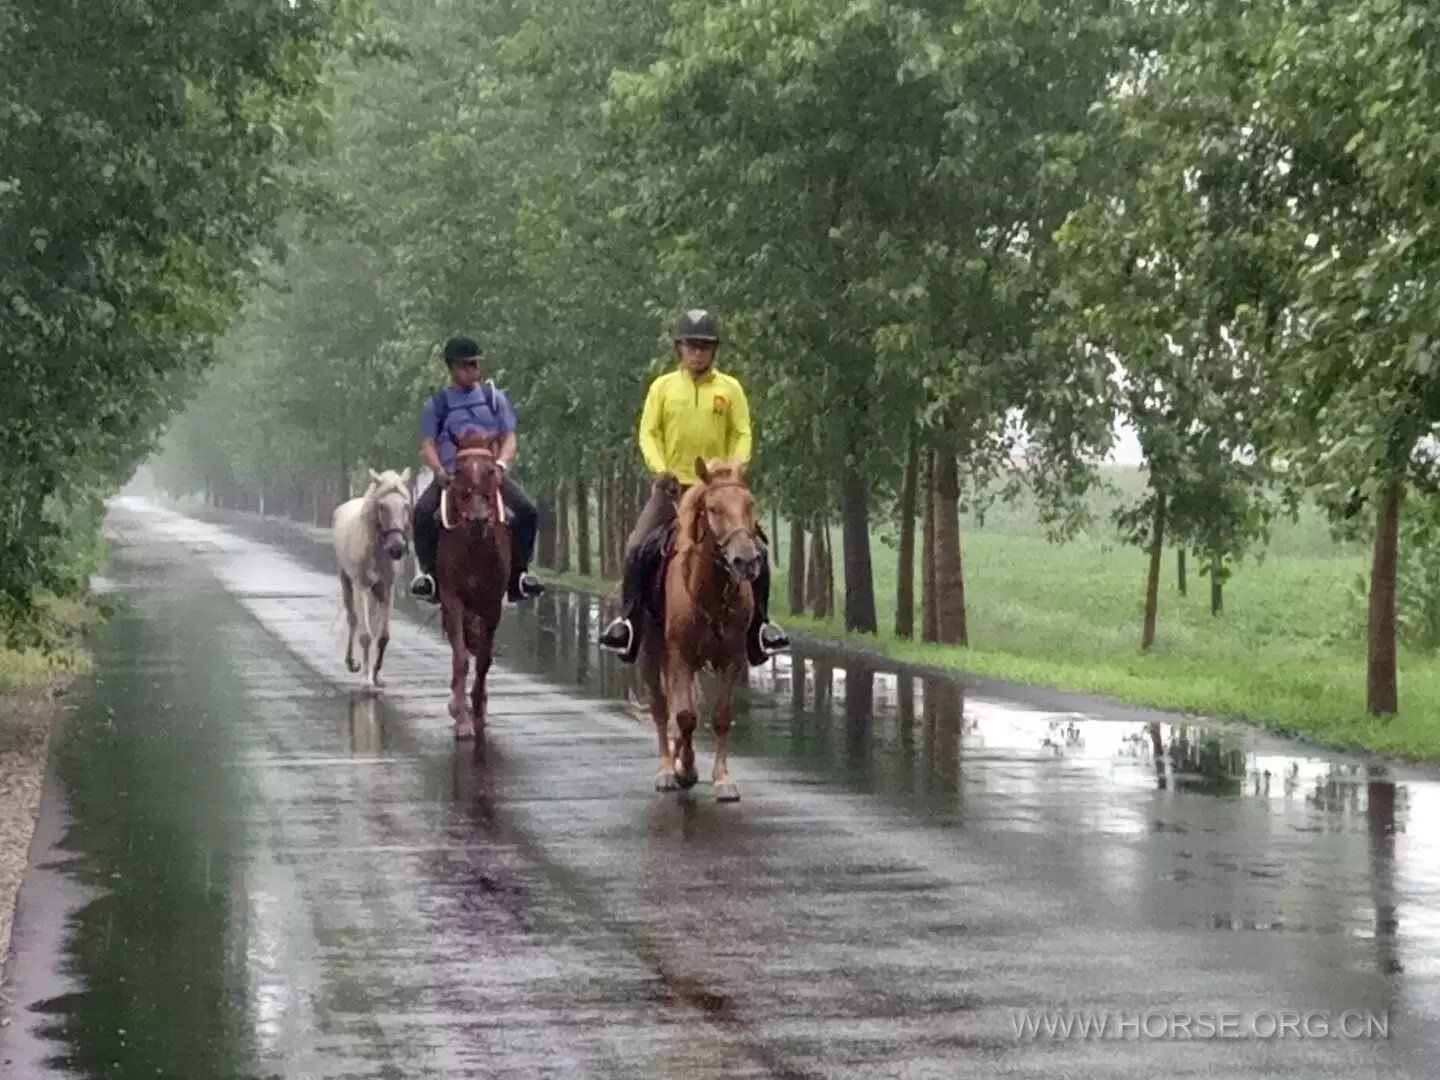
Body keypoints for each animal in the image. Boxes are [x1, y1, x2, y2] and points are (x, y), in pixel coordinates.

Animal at [329, 466, 411, 688]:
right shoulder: (362, 586)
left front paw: (376, 675)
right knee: (353, 619)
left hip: (376, 590)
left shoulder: (387, 588)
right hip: (346, 579)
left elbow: (382, 636)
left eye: (406, 506)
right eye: (382, 506)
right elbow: (365, 634)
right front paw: (366, 679)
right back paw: (352, 663)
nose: (397, 548)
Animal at [432, 434, 512, 743]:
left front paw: (478, 709)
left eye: (490, 470)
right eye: (458, 470)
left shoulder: (492, 603)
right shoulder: (453, 599)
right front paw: (463, 720)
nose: (478, 520)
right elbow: (461, 658)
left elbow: (484, 659)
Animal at [636, 457, 760, 806]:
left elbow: (719, 716)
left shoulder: (731, 658)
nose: (747, 561)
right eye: (714, 508)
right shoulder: (680, 656)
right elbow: (684, 716)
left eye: (750, 504)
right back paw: (667, 770)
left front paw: (722, 779)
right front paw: (686, 771)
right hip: (651, 652)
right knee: (661, 708)